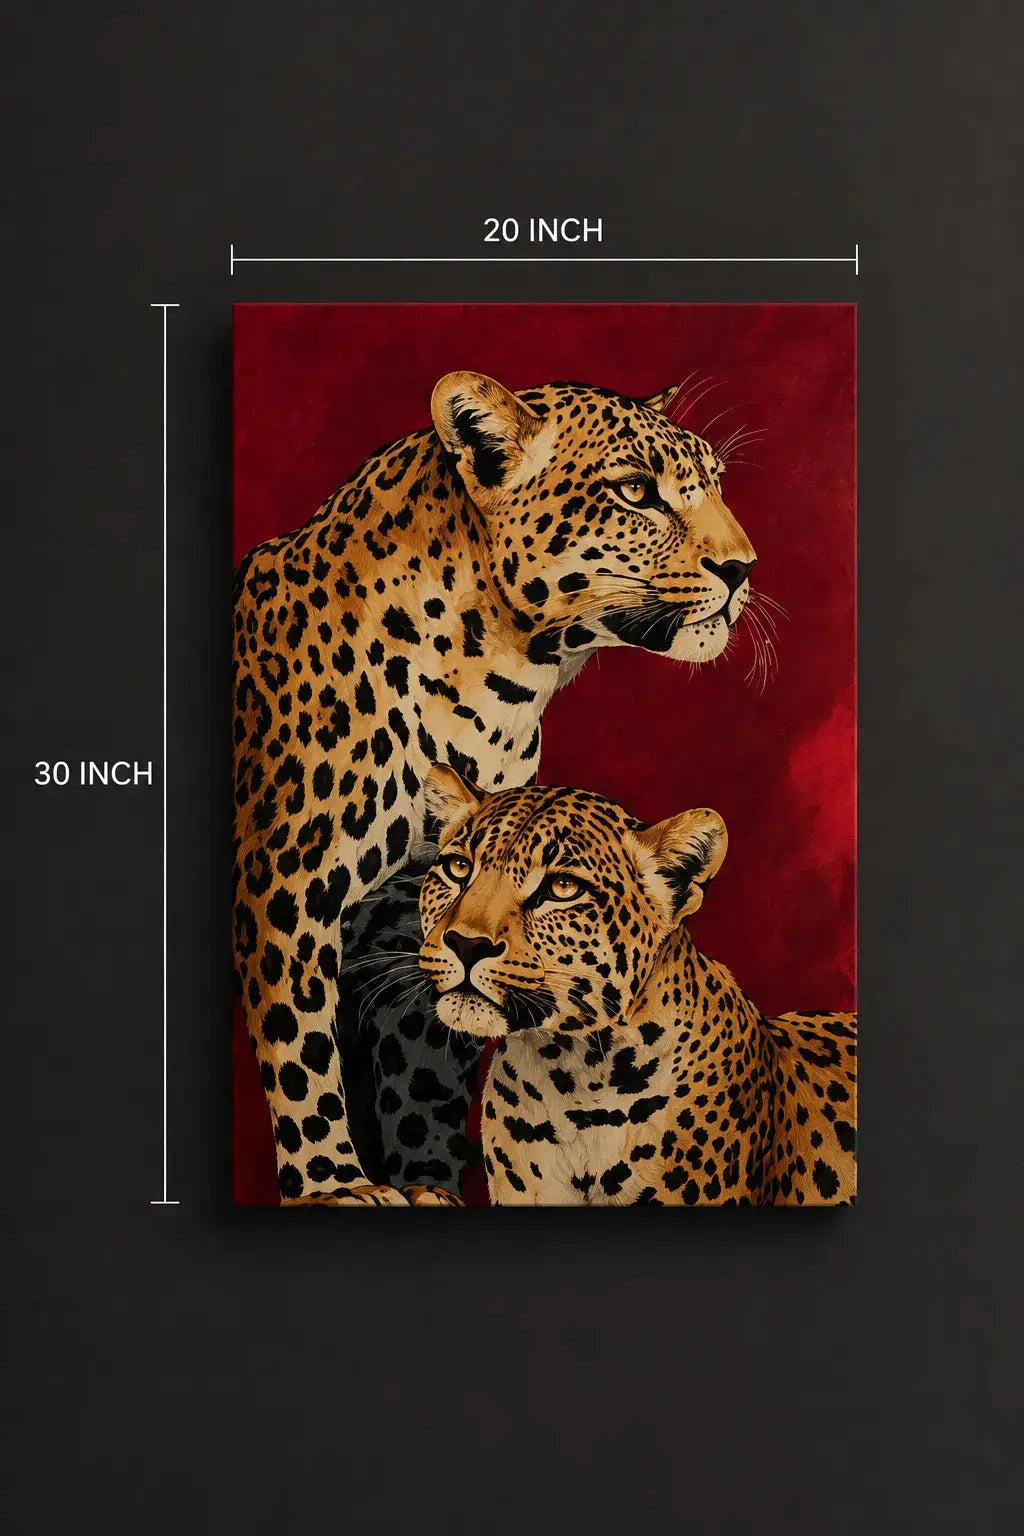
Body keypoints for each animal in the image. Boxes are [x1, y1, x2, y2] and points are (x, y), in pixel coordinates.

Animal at [233, 369, 758, 1205]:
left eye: (715, 485)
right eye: (636, 491)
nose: (744, 569)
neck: (498, 684)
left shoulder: (418, 902)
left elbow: (426, 1053)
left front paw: (428, 1181)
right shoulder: (286, 885)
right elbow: (298, 1042)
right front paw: (332, 1184)